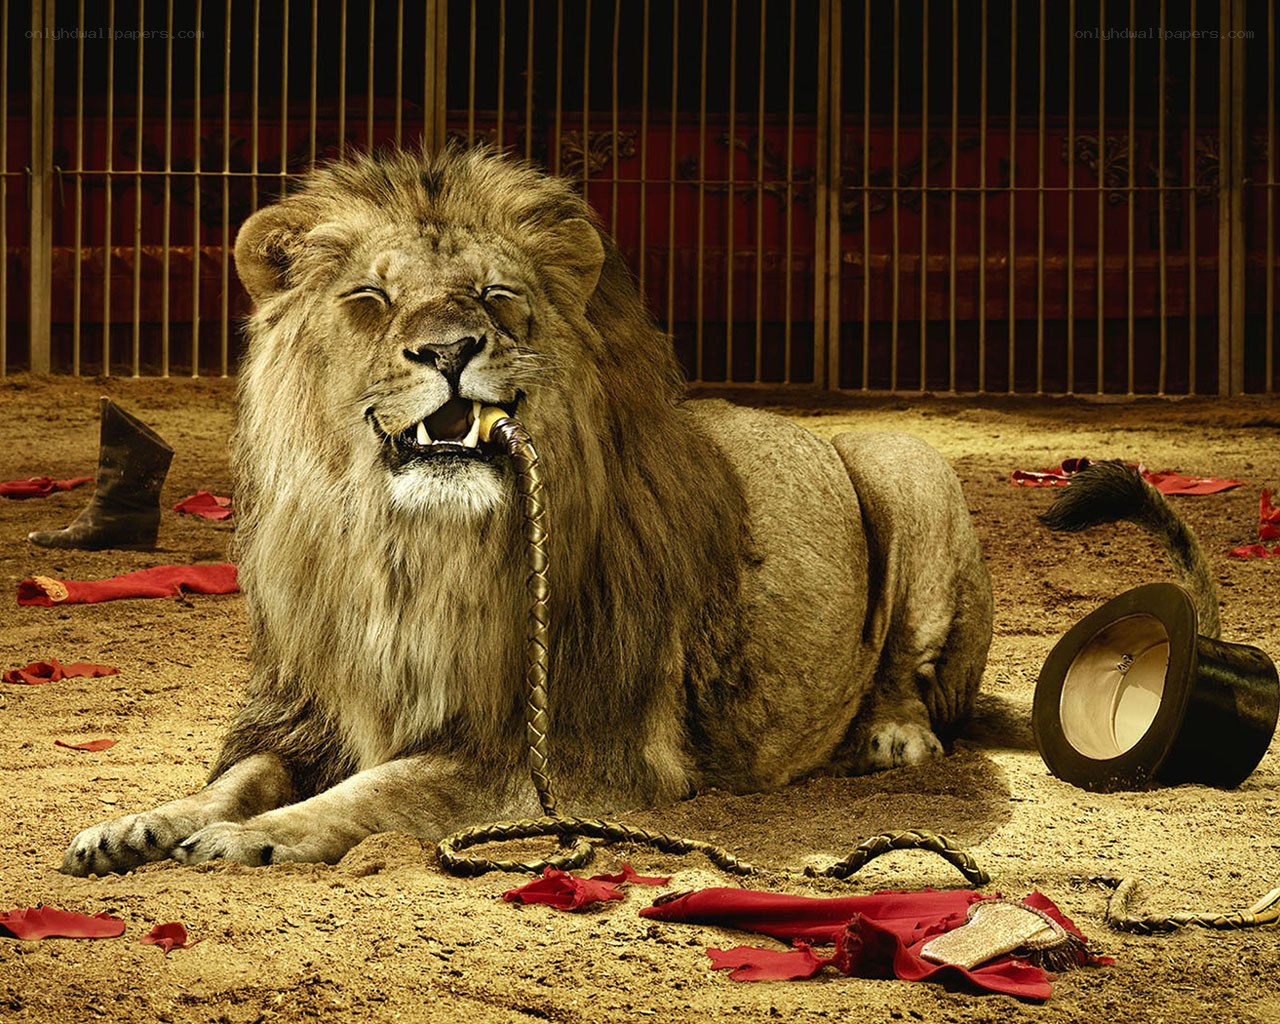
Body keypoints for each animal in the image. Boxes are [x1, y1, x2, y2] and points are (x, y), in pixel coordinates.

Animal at [61, 147, 993, 875]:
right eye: (369, 298)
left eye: (496, 294)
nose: (448, 349)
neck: (409, 552)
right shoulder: (306, 711)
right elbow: (236, 778)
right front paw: (140, 824)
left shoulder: (572, 753)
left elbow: (382, 790)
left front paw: (257, 837)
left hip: (905, 463)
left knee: (911, 667)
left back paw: (893, 738)